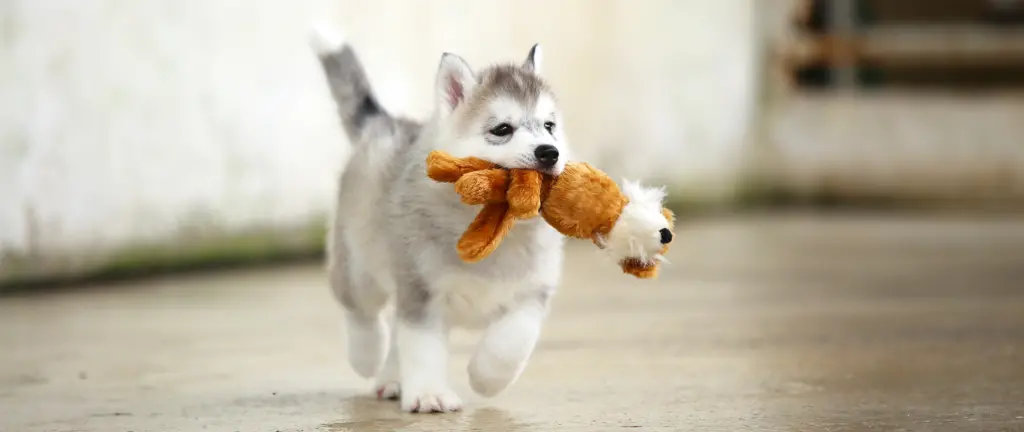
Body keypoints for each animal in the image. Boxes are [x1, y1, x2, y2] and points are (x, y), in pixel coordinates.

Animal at [307, 25, 667, 413]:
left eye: (549, 126)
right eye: (502, 129)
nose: (549, 152)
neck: (497, 226)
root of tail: (386, 124)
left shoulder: (532, 292)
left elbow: (512, 343)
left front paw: (485, 377)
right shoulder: (421, 289)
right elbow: (422, 347)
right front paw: (429, 394)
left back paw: (391, 378)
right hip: (359, 265)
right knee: (361, 310)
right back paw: (368, 355)